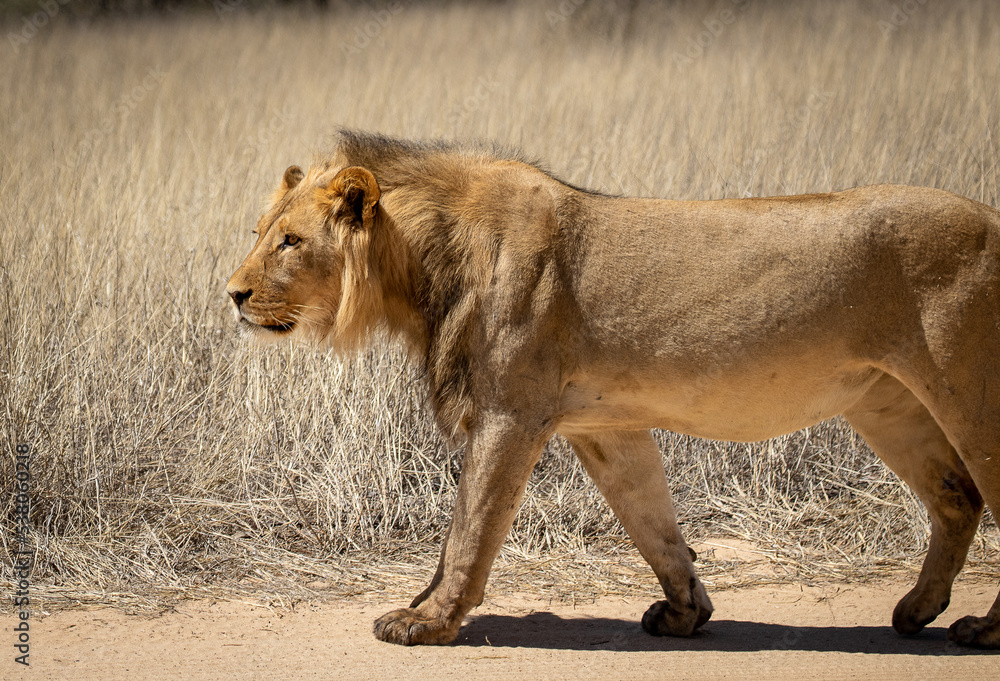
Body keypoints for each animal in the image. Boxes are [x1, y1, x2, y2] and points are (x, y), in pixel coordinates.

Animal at [226, 130, 1000, 649]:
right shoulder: (603, 426)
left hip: (969, 390)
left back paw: (982, 628)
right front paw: (687, 613)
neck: (421, 265)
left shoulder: (511, 413)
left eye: (291, 241)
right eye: (261, 231)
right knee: (957, 496)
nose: (232, 294)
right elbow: (653, 524)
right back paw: (917, 611)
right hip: (885, 401)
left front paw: (428, 618)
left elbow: (470, 526)